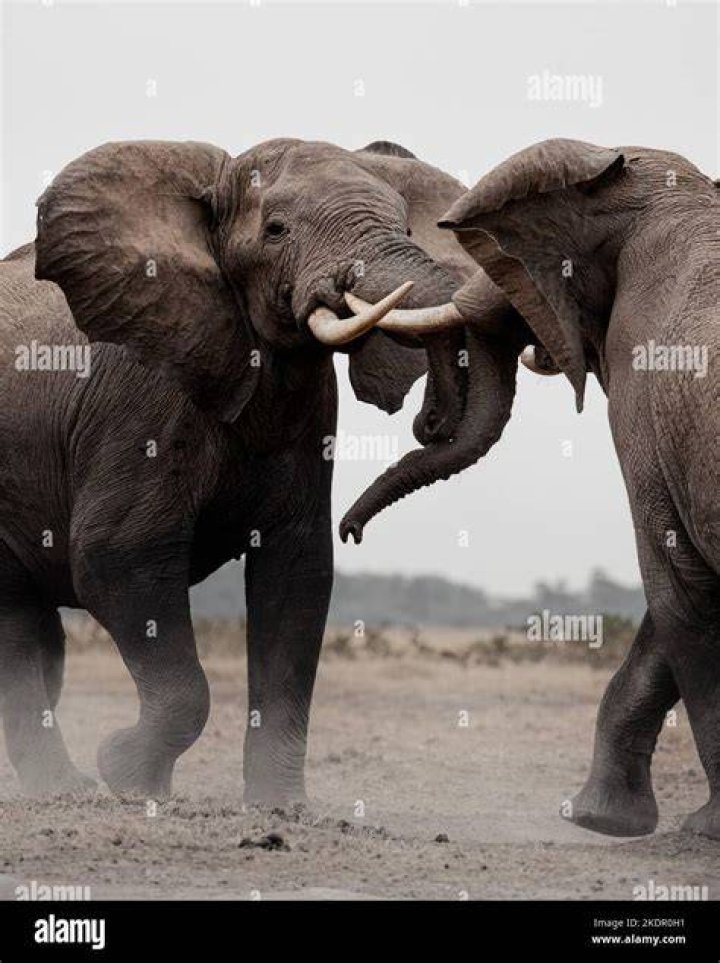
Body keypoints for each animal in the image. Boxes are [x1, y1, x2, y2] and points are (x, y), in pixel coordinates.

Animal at [1, 136, 483, 803]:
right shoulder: (141, 399)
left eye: (407, 228)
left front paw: (281, 810)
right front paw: (129, 778)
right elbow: (117, 557)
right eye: (276, 230)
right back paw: (68, 791)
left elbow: (298, 575)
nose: (428, 422)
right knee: (17, 629)